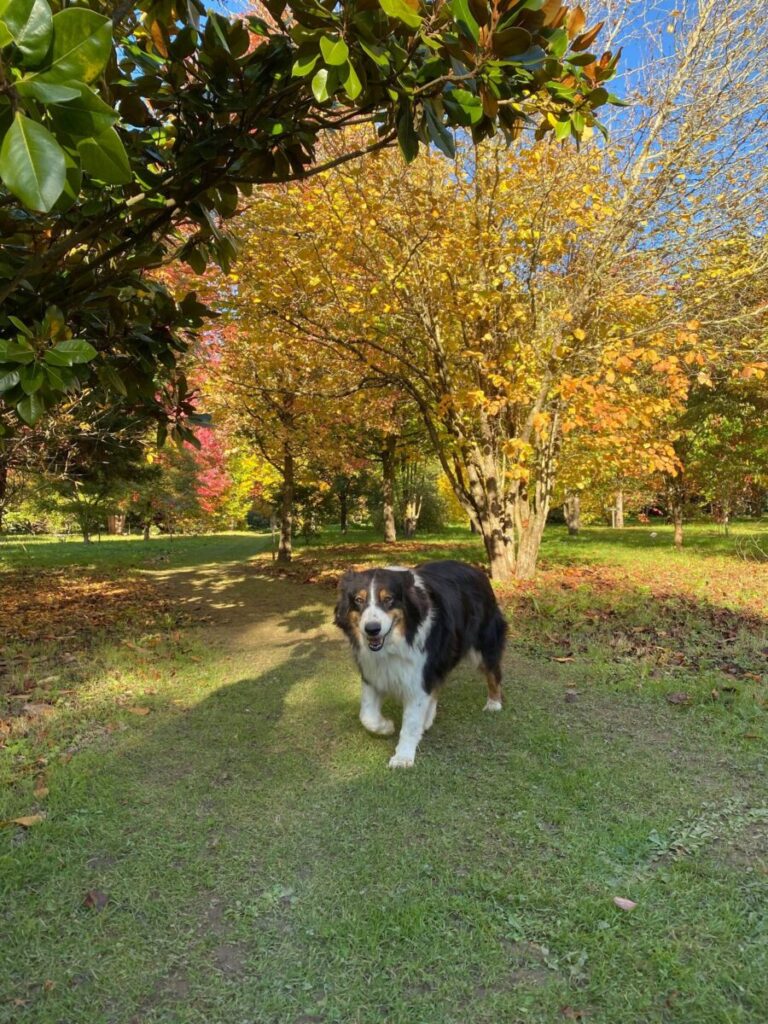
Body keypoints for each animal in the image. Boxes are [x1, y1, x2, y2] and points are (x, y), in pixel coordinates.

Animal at [333, 561, 507, 770]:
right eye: (358, 600)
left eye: (388, 599)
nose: (372, 629)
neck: (396, 642)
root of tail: (476, 569)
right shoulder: (373, 673)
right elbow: (367, 716)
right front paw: (386, 727)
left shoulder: (419, 673)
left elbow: (411, 721)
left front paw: (403, 757)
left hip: (482, 643)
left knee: (493, 672)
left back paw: (494, 703)